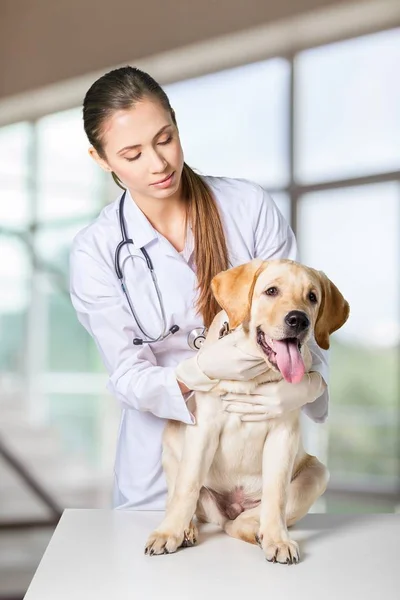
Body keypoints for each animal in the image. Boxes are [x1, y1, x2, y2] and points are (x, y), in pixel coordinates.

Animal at [145, 256, 348, 564]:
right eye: (271, 291)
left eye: (312, 297)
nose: (299, 320)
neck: (254, 373)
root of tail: (233, 507)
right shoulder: (204, 429)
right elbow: (187, 487)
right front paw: (168, 533)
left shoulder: (283, 435)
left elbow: (277, 495)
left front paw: (277, 540)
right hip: (171, 446)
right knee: (183, 496)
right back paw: (188, 529)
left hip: (317, 474)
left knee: (241, 522)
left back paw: (259, 533)